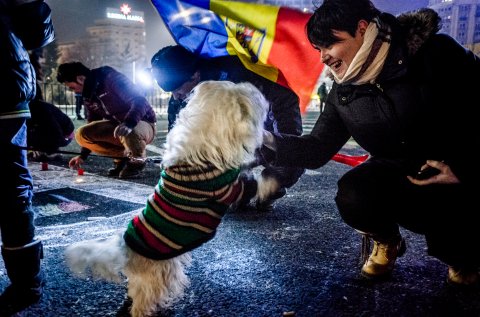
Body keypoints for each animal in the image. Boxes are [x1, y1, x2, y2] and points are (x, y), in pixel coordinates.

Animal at [65, 81, 280, 316]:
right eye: (247, 96)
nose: (258, 89)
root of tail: (124, 250)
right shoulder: (226, 189)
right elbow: (253, 185)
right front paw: (271, 182)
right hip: (157, 273)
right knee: (143, 300)